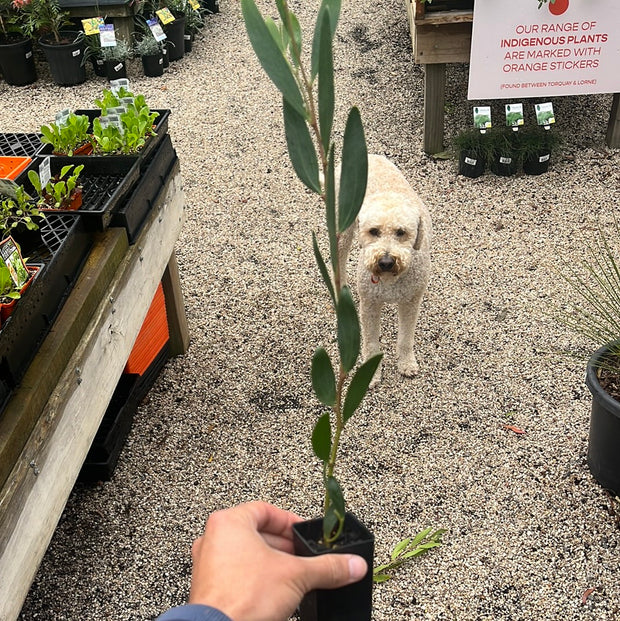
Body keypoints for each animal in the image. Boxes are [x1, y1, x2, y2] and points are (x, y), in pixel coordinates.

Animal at [340, 155, 432, 386]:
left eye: (401, 232)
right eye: (374, 231)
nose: (386, 262)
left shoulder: (411, 302)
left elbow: (406, 338)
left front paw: (406, 363)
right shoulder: (370, 304)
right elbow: (371, 343)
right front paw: (370, 375)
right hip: (343, 228)